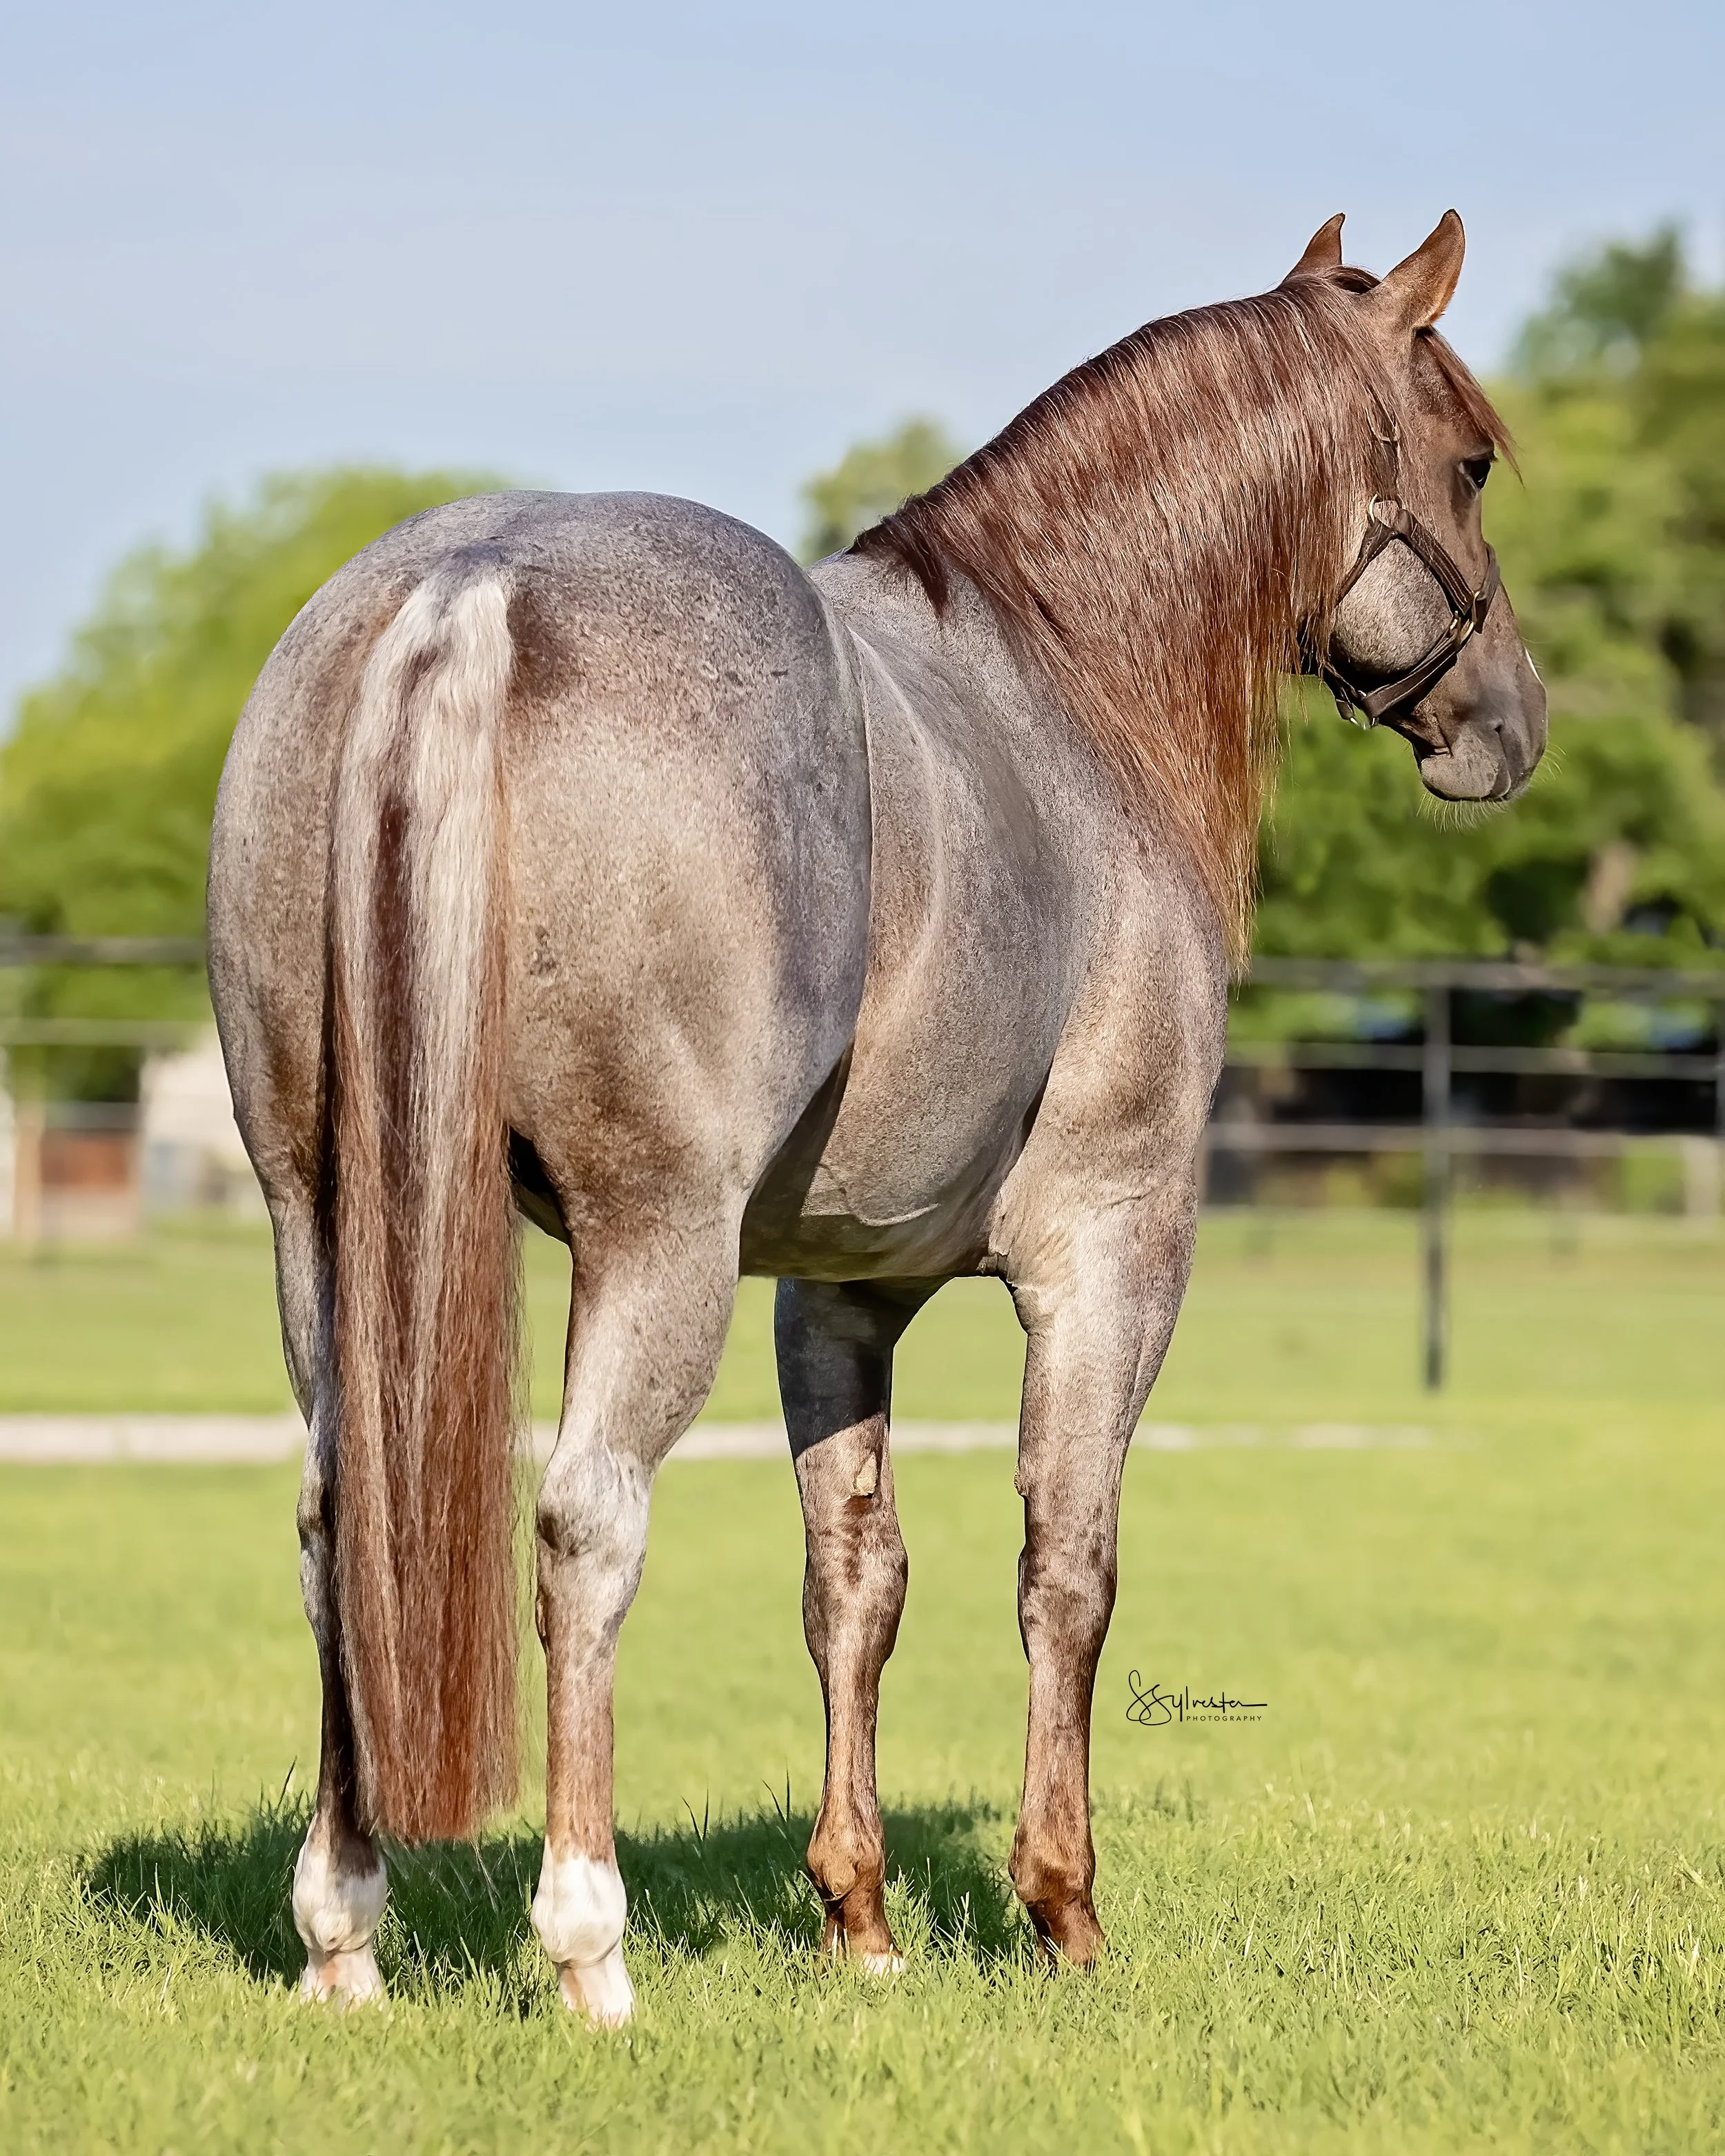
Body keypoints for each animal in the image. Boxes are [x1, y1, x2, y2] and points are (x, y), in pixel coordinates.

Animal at [207, 210, 1545, 2025]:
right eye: (1466, 461)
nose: (1510, 724)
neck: (1071, 694)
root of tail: (469, 584)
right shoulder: (1111, 1254)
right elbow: (1068, 1564)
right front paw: (1061, 1906)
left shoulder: (837, 1289)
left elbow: (855, 1576)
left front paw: (861, 1914)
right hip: (653, 1237)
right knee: (587, 1522)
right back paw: (589, 1942)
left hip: (319, 1222)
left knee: (337, 1514)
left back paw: (343, 1927)